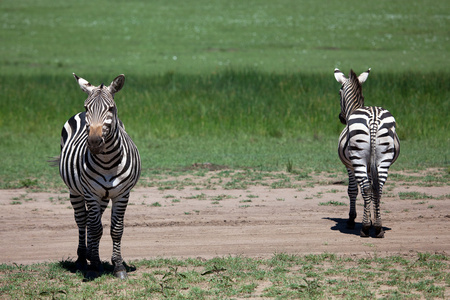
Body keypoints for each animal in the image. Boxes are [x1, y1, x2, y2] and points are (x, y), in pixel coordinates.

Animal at [59, 73, 141, 278]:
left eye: (111, 108)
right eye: (87, 107)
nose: (95, 142)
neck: (107, 161)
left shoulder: (122, 194)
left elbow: (116, 229)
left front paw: (118, 265)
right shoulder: (91, 193)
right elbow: (95, 228)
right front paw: (95, 264)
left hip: (103, 196)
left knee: (89, 218)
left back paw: (89, 253)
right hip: (76, 191)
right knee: (82, 220)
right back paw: (82, 258)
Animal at [334, 68, 400, 239]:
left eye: (339, 92)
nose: (341, 118)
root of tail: (374, 118)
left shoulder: (349, 166)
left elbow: (353, 190)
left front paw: (353, 220)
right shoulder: (371, 167)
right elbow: (371, 189)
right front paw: (371, 219)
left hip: (358, 160)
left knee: (366, 189)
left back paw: (364, 228)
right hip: (383, 160)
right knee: (377, 189)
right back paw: (378, 227)